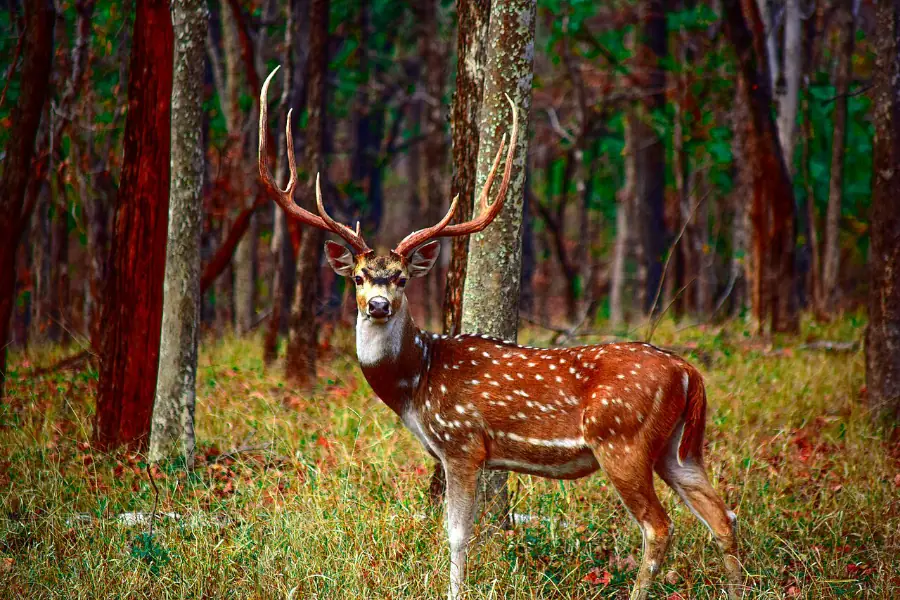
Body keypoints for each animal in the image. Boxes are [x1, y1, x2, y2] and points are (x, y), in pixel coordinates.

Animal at [258, 67, 744, 600]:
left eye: (402, 278)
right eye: (360, 278)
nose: (380, 305)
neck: (417, 382)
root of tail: (689, 372)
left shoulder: (461, 442)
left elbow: (456, 534)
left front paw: (454, 591)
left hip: (623, 440)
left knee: (659, 526)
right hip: (680, 446)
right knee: (722, 515)